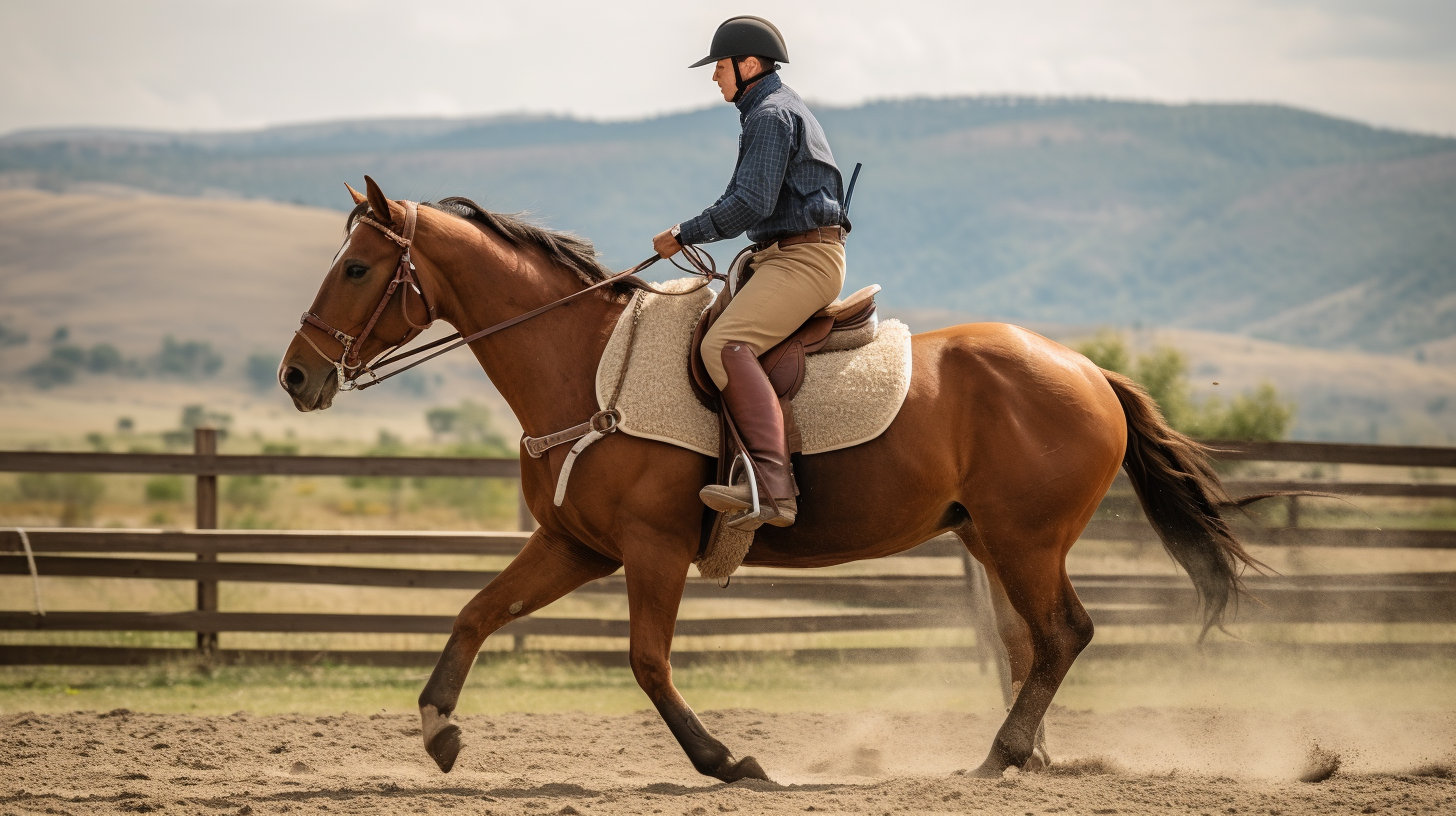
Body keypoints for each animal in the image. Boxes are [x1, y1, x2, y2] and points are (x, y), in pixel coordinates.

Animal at [281, 177, 1263, 786]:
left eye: (358, 268)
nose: (296, 376)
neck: (588, 367)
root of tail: (1089, 370)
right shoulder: (575, 546)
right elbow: (476, 613)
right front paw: (438, 729)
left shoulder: (652, 549)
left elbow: (646, 661)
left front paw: (728, 762)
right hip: (992, 537)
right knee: (1034, 642)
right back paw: (1023, 755)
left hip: (1026, 539)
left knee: (1064, 635)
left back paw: (1001, 755)